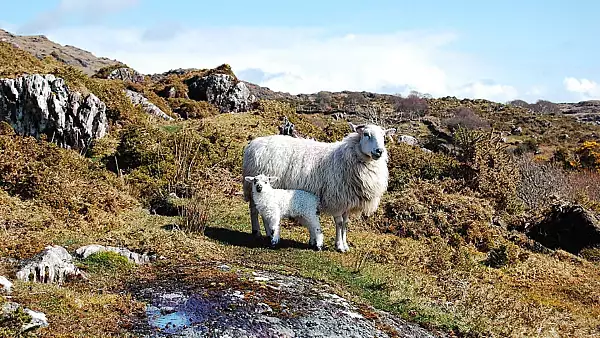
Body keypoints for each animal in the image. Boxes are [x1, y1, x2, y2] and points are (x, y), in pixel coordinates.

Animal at [241, 121, 396, 251]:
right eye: (366, 134)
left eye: (384, 137)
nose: (379, 151)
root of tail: (254, 143)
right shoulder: (336, 199)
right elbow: (339, 223)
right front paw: (339, 246)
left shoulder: (347, 201)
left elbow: (345, 223)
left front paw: (345, 245)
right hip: (254, 187)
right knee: (254, 210)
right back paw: (258, 232)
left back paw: (267, 233)